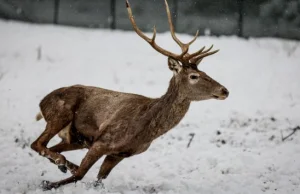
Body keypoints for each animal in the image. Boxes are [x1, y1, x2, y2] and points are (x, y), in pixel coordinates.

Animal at [30, 0, 229, 190]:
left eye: (204, 72)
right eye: (194, 76)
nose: (224, 90)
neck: (144, 130)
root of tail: (42, 102)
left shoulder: (119, 154)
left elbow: (98, 180)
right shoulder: (103, 141)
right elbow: (79, 175)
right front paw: (47, 183)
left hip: (75, 139)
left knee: (49, 147)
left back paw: (63, 163)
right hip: (60, 113)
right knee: (37, 144)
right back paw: (63, 163)